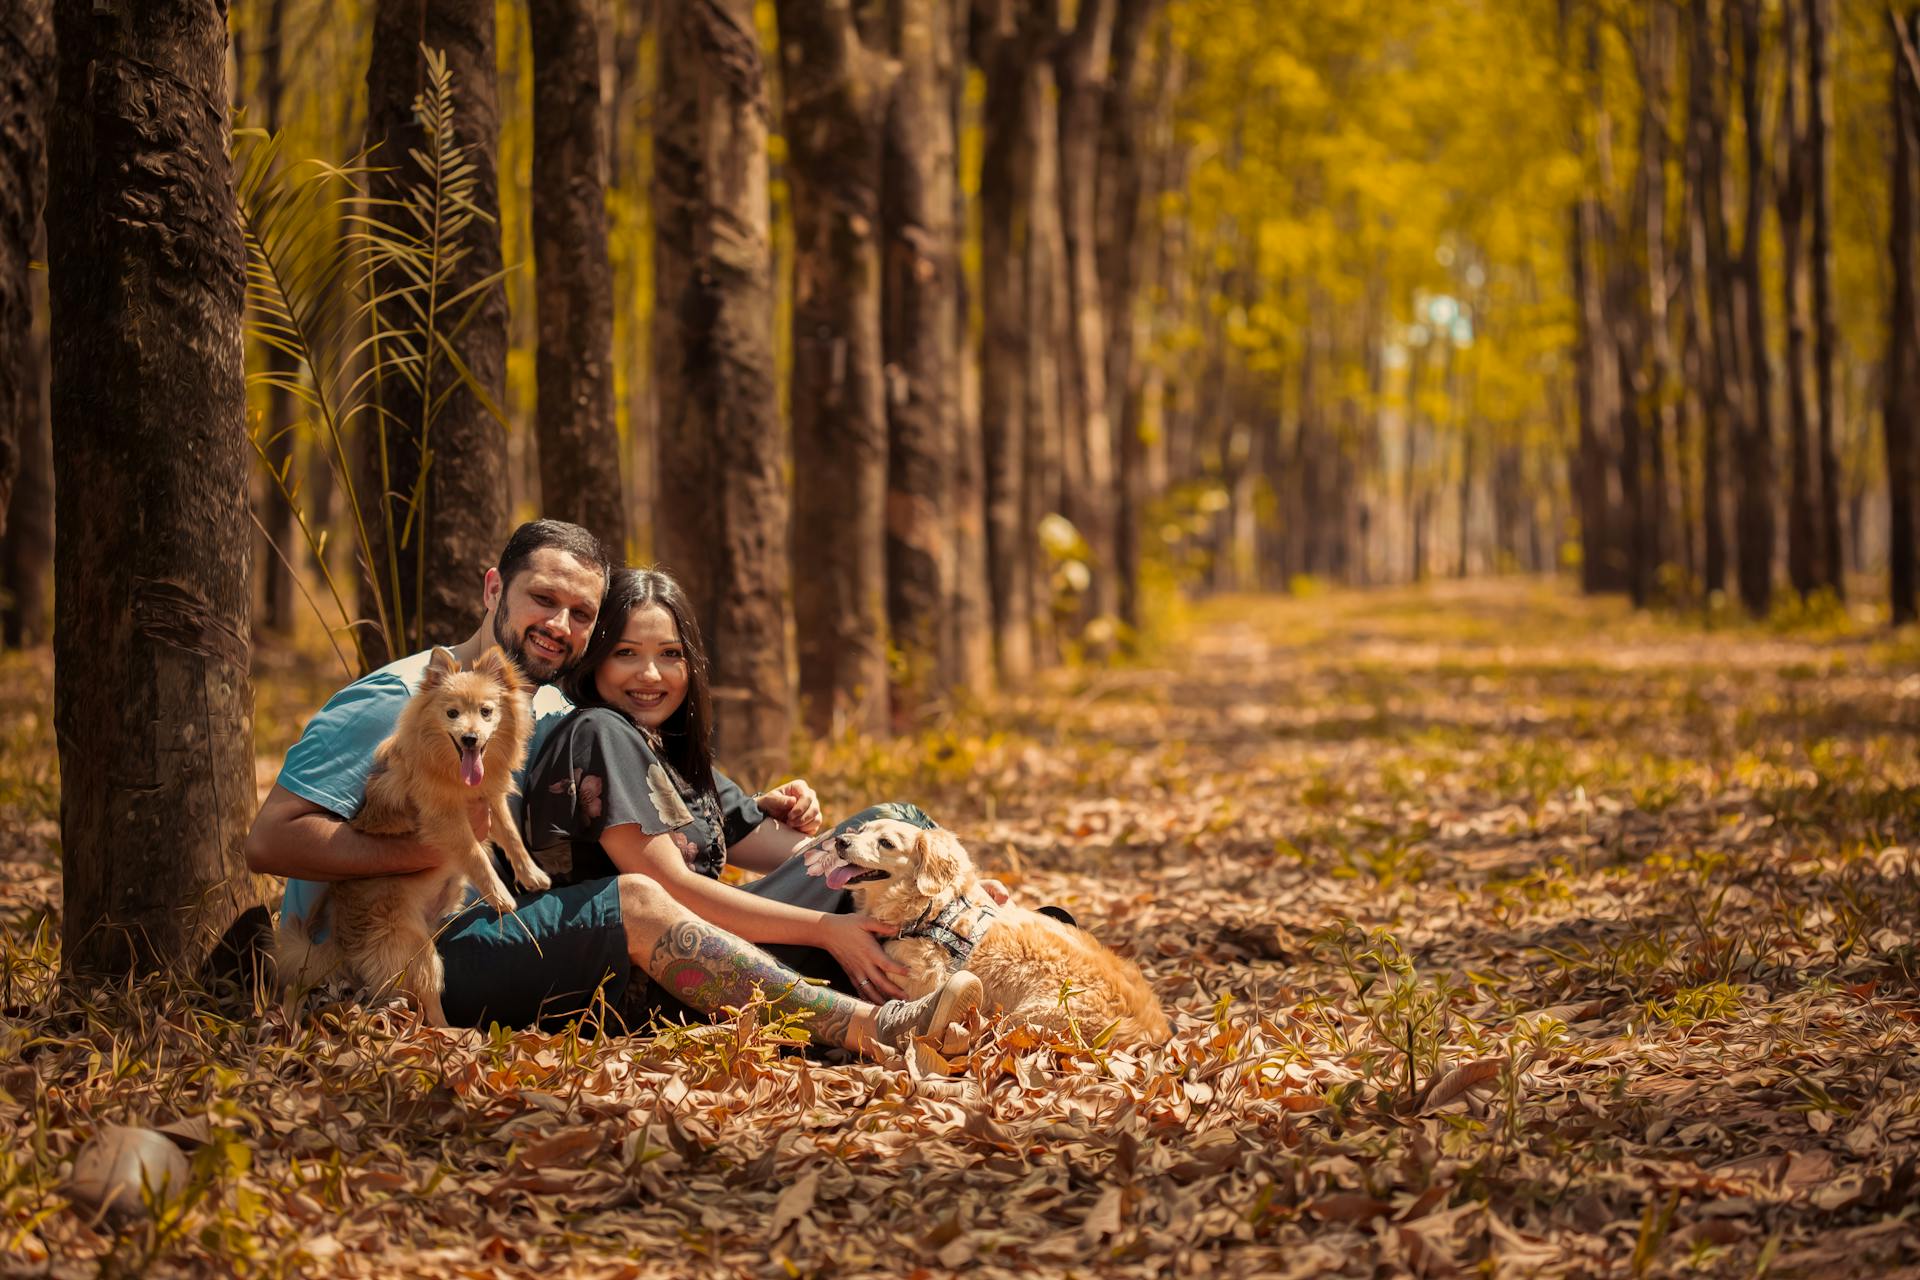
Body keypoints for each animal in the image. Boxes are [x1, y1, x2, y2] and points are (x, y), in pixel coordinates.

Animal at [274, 644, 552, 1028]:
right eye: (452, 713)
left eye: (486, 712)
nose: (470, 738)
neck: (455, 772)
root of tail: (340, 944)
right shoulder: (447, 820)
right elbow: (476, 855)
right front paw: (499, 894)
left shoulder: (490, 801)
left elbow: (511, 838)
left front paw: (531, 874)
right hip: (417, 954)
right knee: (428, 1008)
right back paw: (458, 1036)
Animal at [806, 821, 1175, 1051]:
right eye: (861, 831)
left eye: (886, 843)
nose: (840, 842)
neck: (933, 911)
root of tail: (1154, 1030)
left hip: (1029, 1017)